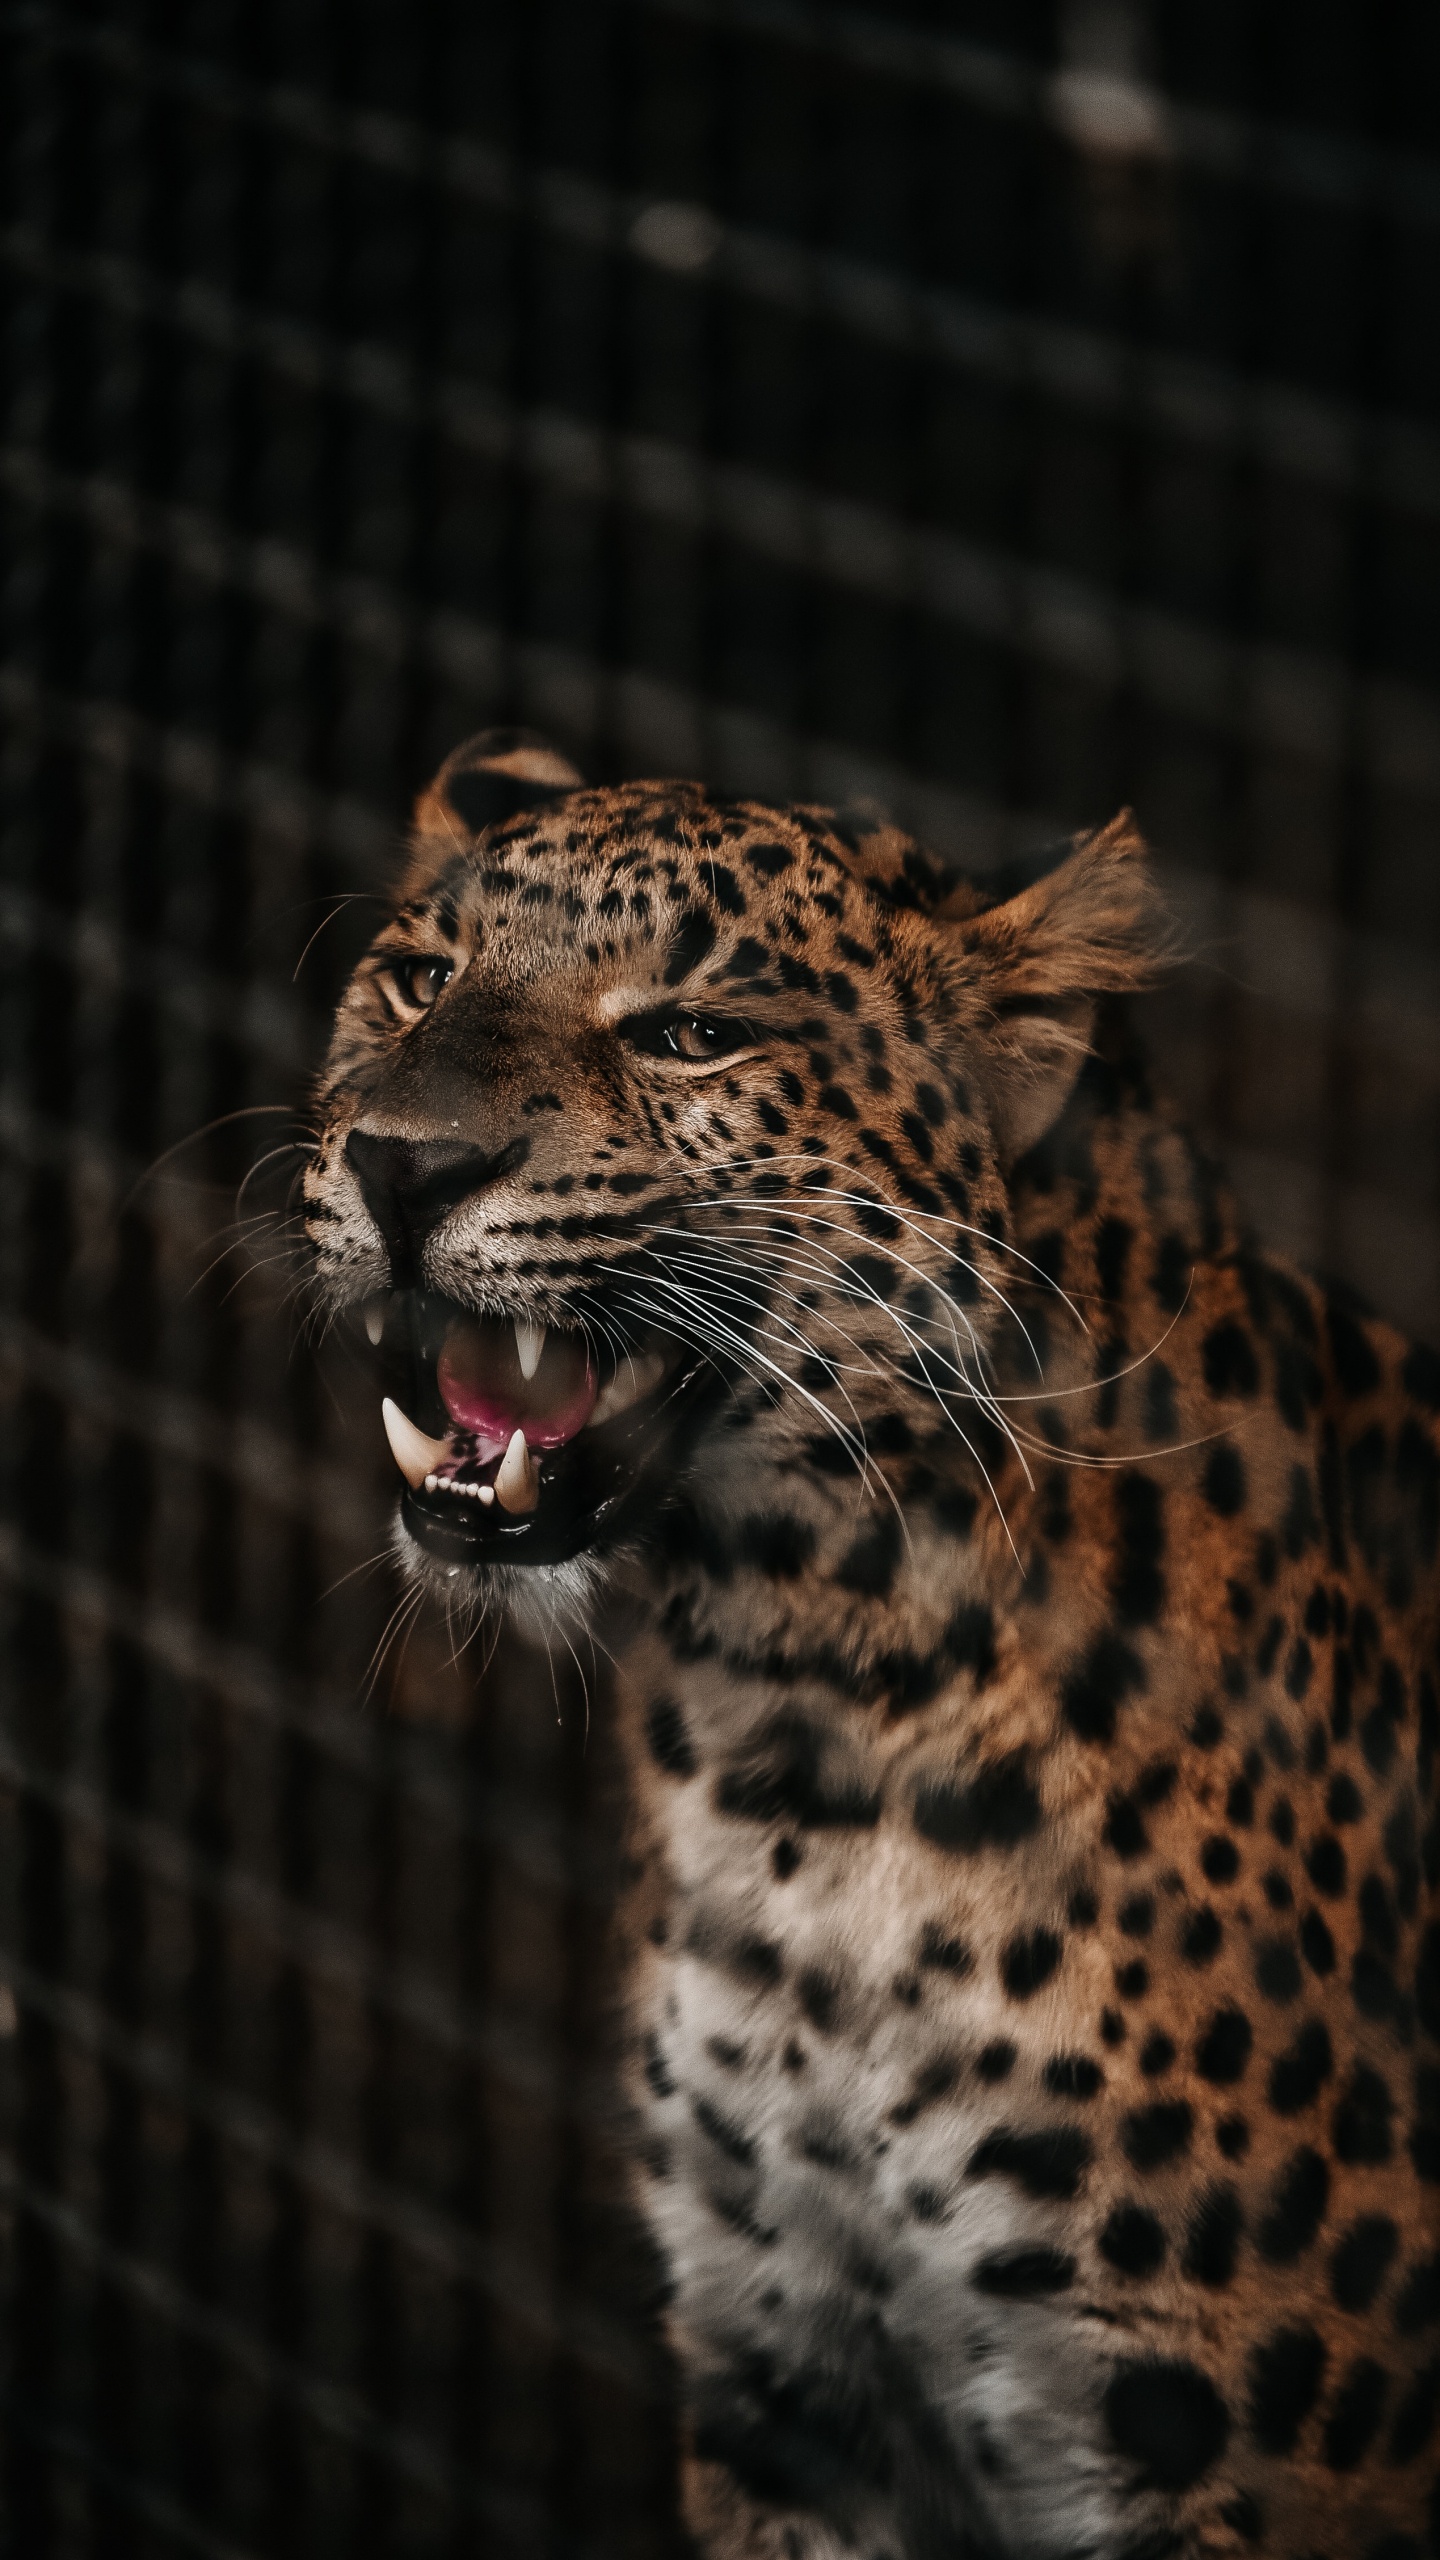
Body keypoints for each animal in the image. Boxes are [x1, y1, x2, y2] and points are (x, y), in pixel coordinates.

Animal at [304, 726, 1440, 2560]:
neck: (803, 1724)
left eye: (692, 1034)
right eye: (417, 980)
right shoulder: (789, 2383)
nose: (399, 1165)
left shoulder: (1251, 2465)